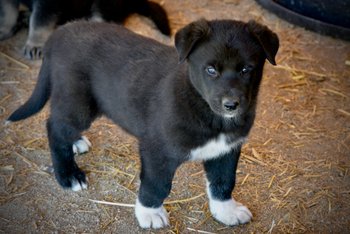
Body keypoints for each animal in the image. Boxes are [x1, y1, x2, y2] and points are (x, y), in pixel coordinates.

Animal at [7, 19, 278, 228]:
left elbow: (223, 182)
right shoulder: (157, 150)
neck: (207, 112)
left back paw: (76, 143)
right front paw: (149, 214)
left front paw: (226, 211)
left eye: (246, 69)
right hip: (78, 103)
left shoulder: (226, 150)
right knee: (55, 127)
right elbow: (156, 185)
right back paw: (68, 176)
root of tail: (62, 31)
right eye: (211, 70)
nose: (231, 104)